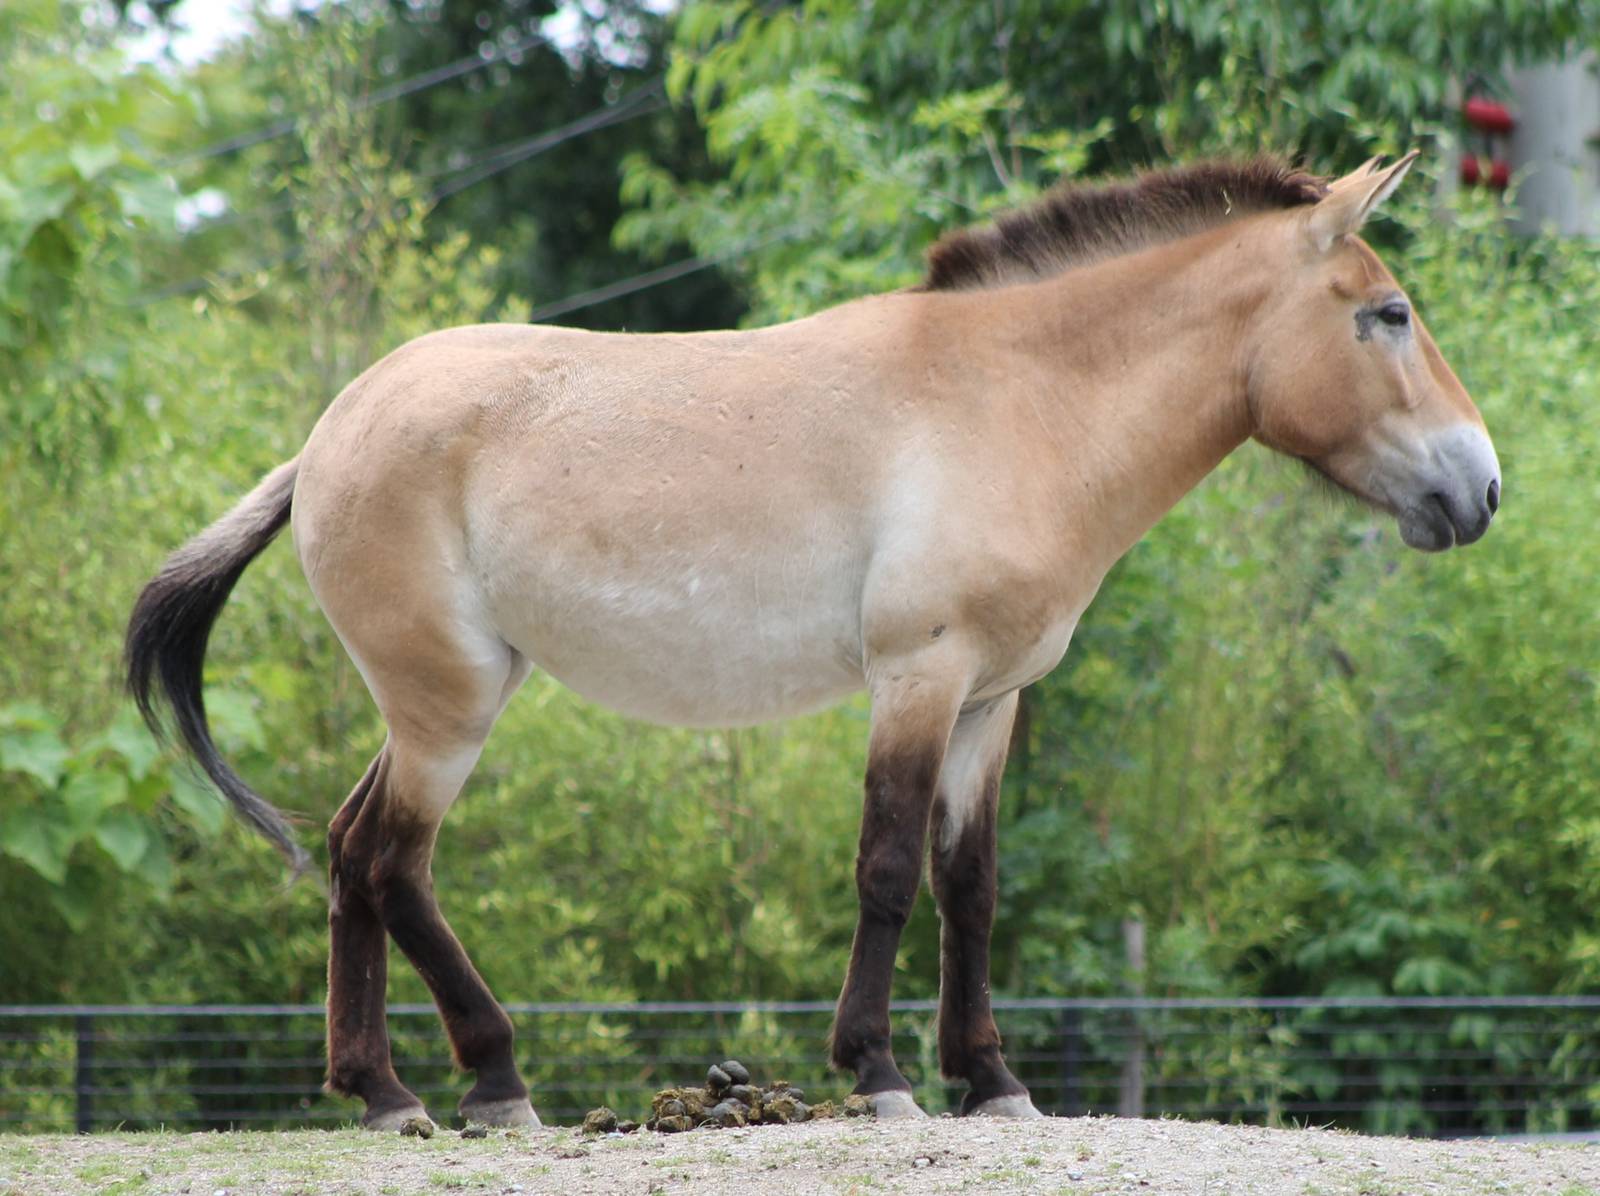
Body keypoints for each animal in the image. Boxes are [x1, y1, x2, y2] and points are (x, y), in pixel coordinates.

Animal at [126, 153, 1500, 1129]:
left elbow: (970, 884)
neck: (1023, 397)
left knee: (350, 853)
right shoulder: (919, 676)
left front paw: (991, 1078)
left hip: (435, 699)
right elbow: (888, 871)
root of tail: (327, 437)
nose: (1479, 488)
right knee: (391, 860)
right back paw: (490, 1083)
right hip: (447, 708)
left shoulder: (990, 702)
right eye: (1388, 312)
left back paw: (383, 1092)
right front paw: (880, 1071)